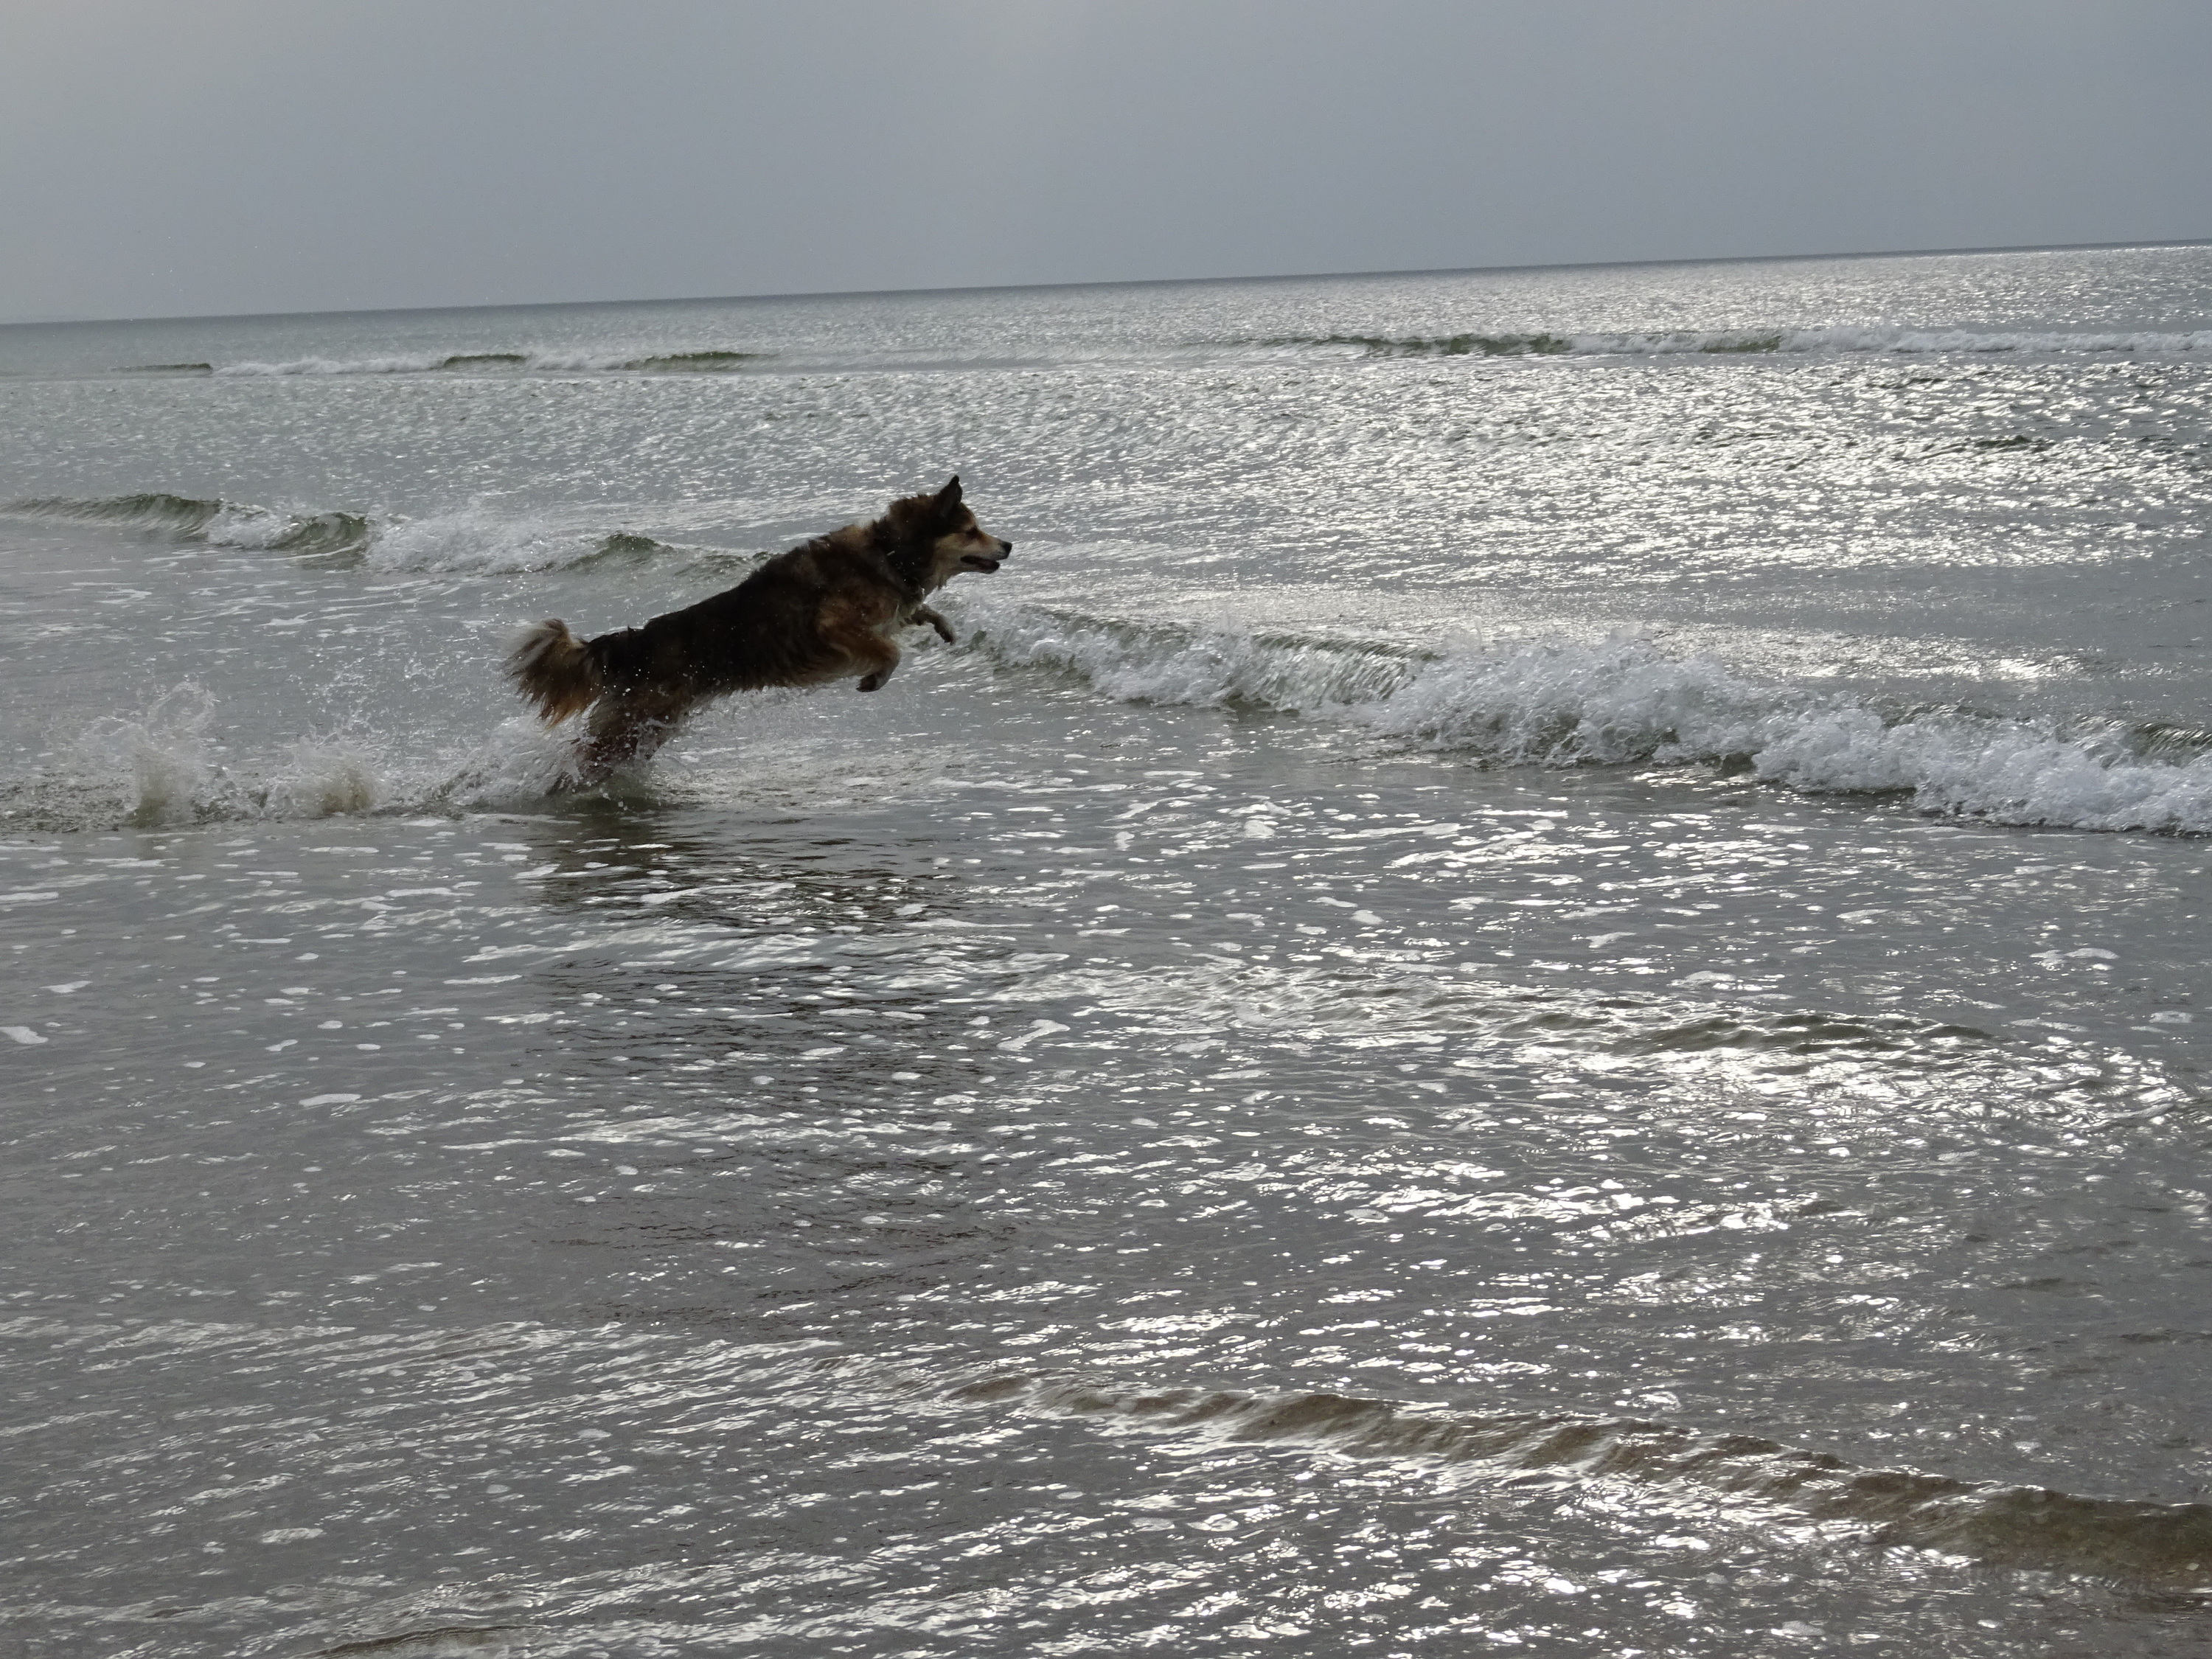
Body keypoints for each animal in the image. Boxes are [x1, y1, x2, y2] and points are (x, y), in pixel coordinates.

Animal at [504, 478, 1013, 783]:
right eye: (972, 531)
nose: (1009, 544)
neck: (890, 552)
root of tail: (632, 644)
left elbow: (919, 614)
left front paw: (944, 627)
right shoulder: (834, 624)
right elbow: (891, 651)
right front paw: (876, 677)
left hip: (651, 728)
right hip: (632, 725)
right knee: (587, 757)